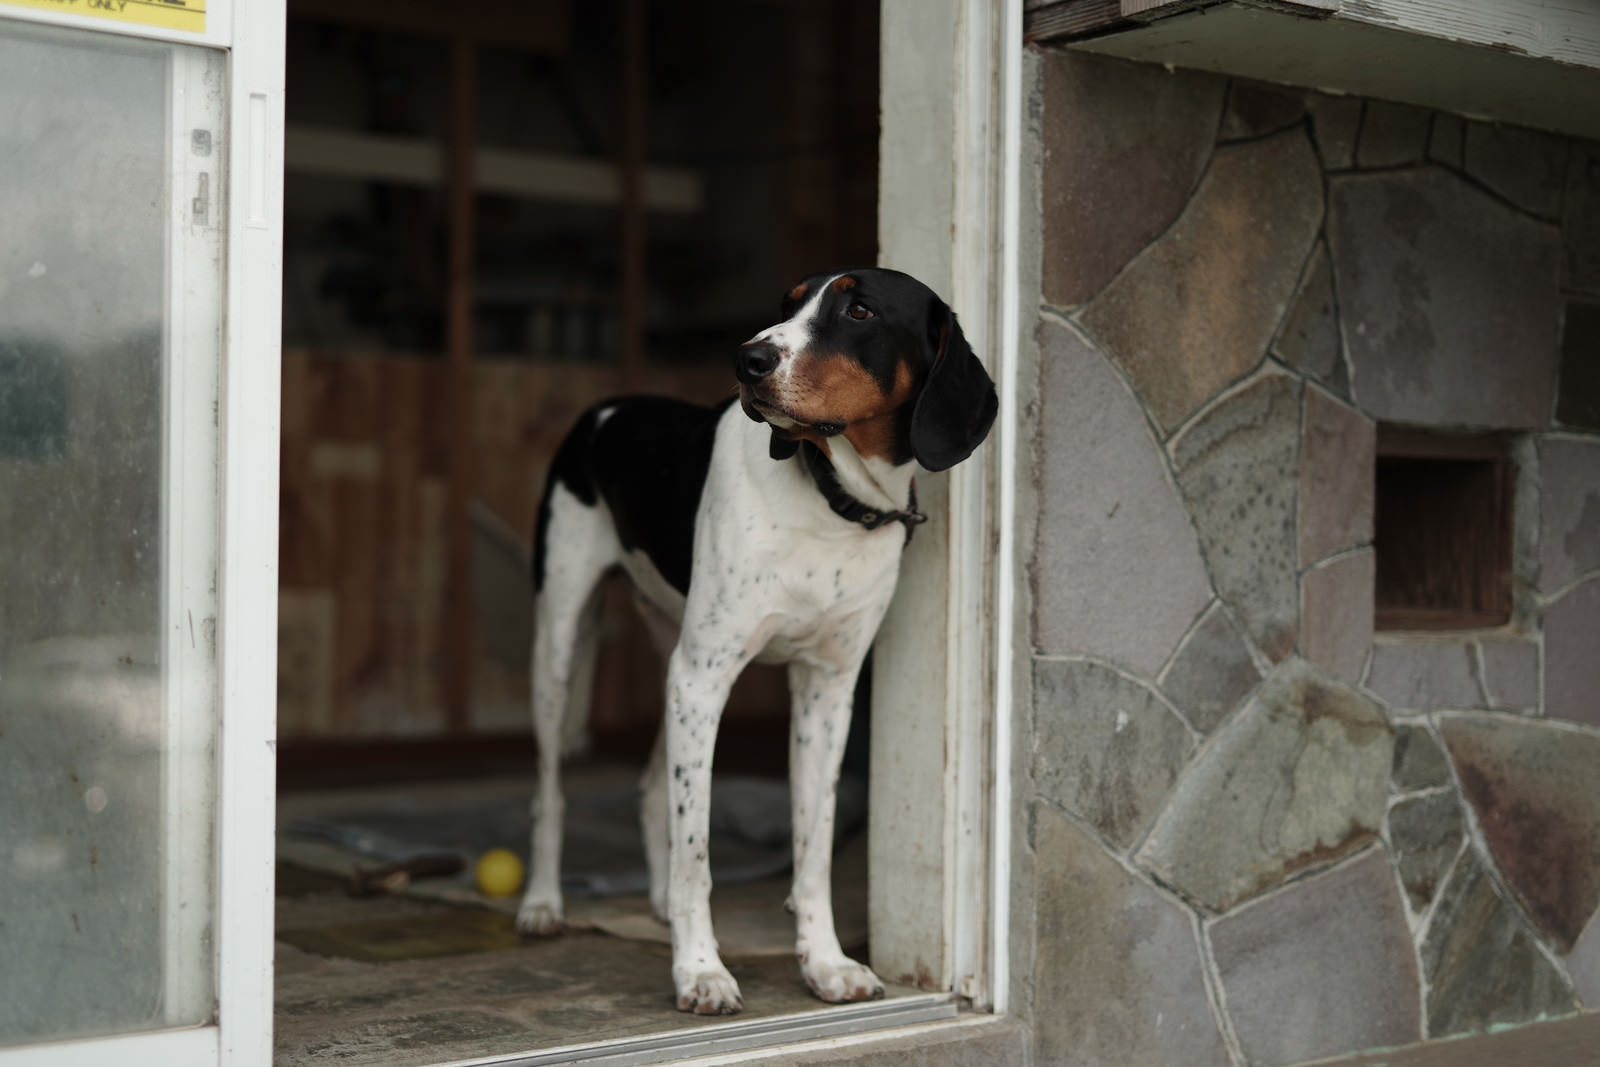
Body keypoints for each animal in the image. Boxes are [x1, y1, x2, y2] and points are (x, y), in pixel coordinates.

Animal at [521, 262, 998, 1017]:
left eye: (859, 310)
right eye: (788, 302)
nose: (746, 359)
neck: (832, 501)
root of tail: (607, 406)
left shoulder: (826, 693)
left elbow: (815, 849)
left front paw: (826, 962)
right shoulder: (703, 678)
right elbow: (697, 853)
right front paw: (700, 971)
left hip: (671, 656)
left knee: (652, 784)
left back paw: (656, 903)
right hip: (563, 644)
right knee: (549, 791)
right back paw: (542, 903)